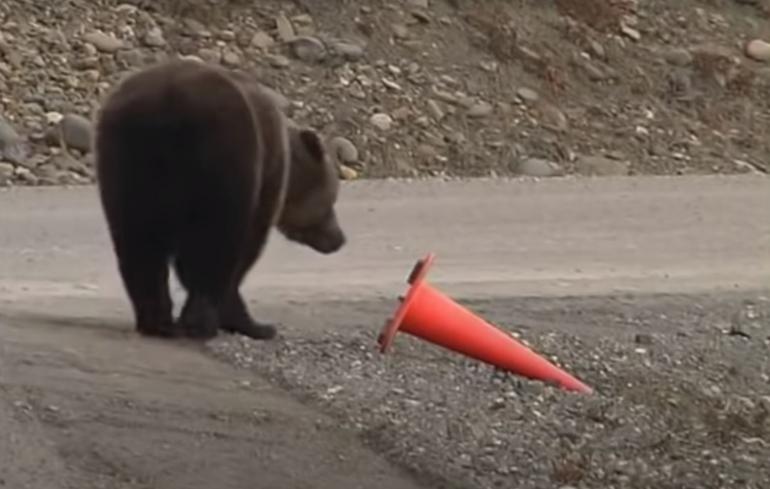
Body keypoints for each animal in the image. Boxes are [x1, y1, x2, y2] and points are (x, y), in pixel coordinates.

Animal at [93, 58, 346, 341]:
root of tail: (166, 105)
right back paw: (201, 324)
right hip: (222, 152)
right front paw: (254, 324)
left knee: (138, 239)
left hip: (126, 157)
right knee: (214, 241)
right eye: (332, 200)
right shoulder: (264, 177)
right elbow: (245, 245)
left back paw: (158, 322)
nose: (339, 238)